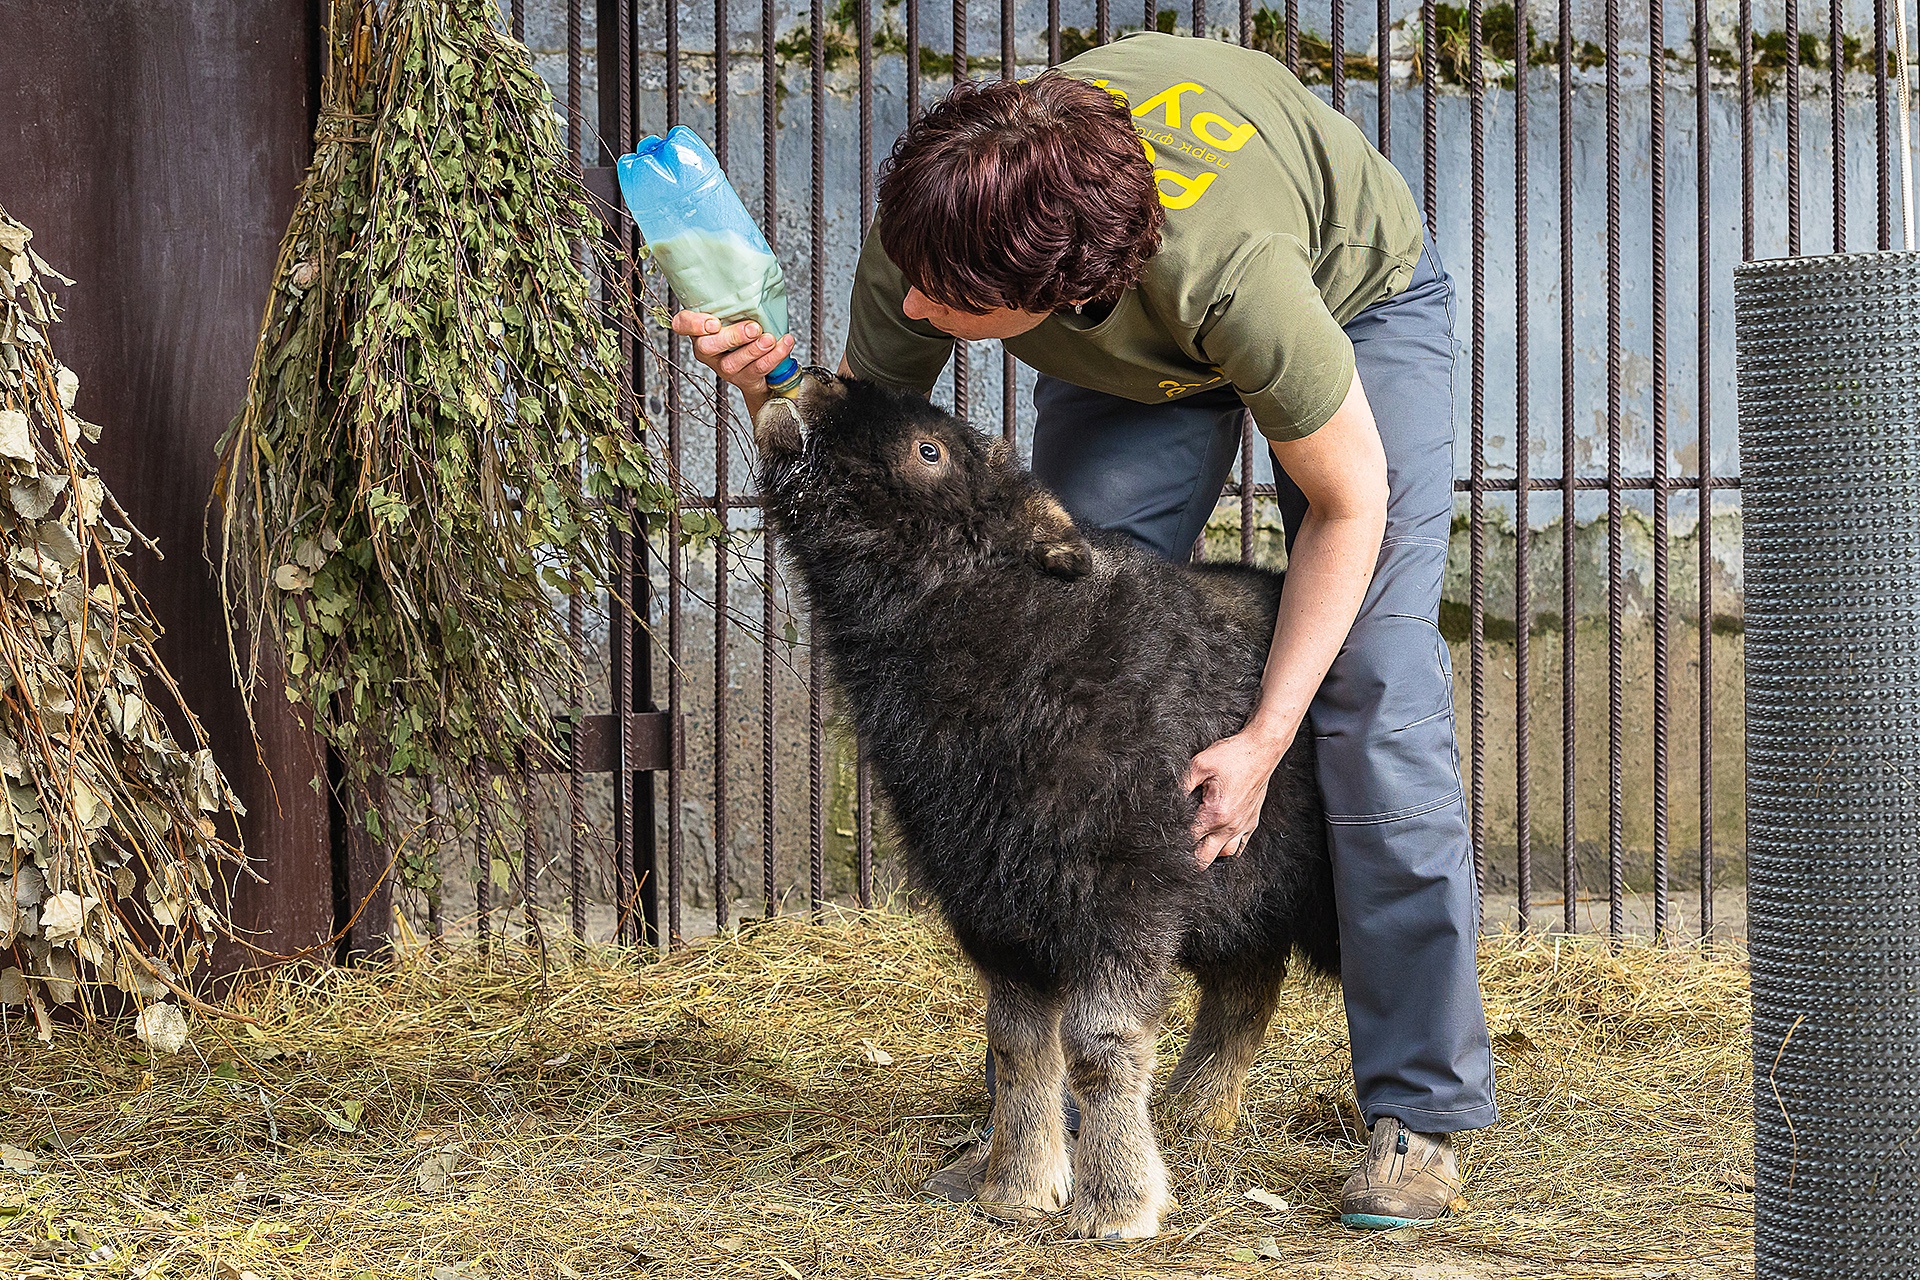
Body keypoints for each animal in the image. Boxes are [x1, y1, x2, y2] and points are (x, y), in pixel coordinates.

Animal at [748, 370, 1336, 1243]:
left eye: (929, 450)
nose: (811, 382)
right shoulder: (995, 903)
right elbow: (1022, 1047)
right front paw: (1020, 1184)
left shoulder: (1126, 891)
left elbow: (1098, 1045)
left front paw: (1118, 1202)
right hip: (1244, 895)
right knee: (1247, 985)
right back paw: (1197, 1113)